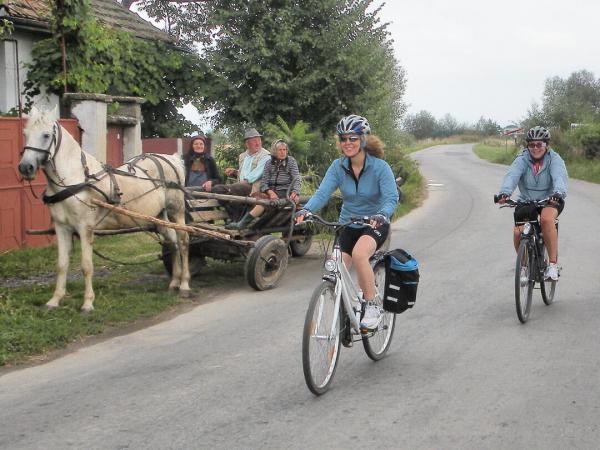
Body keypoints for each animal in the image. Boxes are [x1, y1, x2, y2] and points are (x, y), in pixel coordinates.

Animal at [17, 108, 190, 312]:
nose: (25, 167)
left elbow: (86, 266)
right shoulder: (62, 228)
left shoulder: (85, 228)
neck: (75, 179)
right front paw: (55, 300)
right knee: (173, 242)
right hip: (159, 217)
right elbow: (61, 264)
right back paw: (174, 282)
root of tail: (172, 159)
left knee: (184, 241)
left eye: (46, 135)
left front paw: (87, 303)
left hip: (177, 211)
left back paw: (185, 284)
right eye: (25, 134)